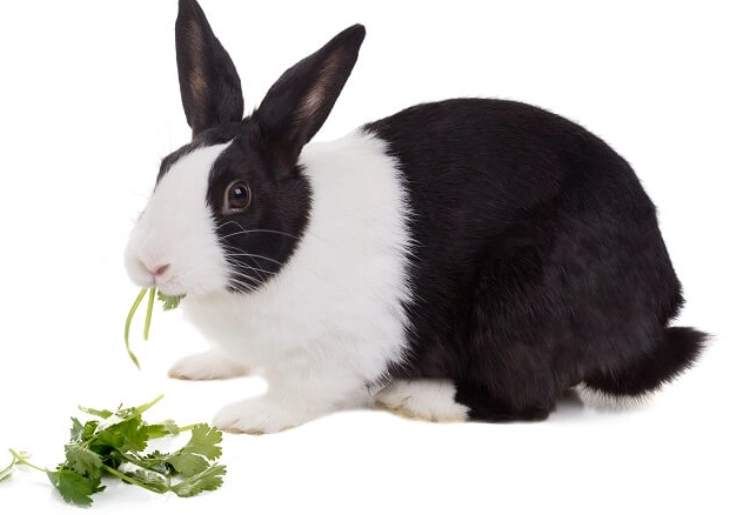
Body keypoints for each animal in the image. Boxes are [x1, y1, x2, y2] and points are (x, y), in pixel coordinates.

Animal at [125, 0, 706, 434]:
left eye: (238, 195)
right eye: (164, 168)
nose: (151, 265)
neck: (295, 241)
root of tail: (654, 317)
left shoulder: (344, 348)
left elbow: (301, 390)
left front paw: (246, 416)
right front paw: (199, 366)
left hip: (523, 300)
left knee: (524, 399)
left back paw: (417, 398)